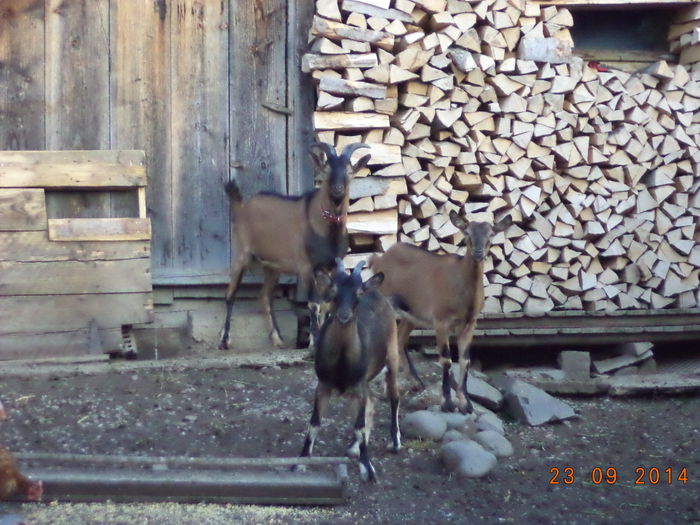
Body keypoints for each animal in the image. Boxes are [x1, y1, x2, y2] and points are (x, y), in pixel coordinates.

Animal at [219, 141, 372, 350]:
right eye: (326, 170)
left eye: (349, 171)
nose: (337, 190)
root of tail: (242, 206)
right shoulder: (307, 266)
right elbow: (313, 303)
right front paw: (314, 342)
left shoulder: (330, 267)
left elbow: (327, 303)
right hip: (241, 253)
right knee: (230, 293)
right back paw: (224, 340)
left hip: (272, 266)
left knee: (264, 297)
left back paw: (277, 339)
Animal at [298, 260, 402, 482]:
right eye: (333, 289)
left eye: (359, 291)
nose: (344, 315)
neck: (342, 362)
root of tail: (378, 293)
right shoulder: (323, 385)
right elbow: (314, 422)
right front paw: (300, 462)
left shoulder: (358, 386)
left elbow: (359, 426)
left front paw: (368, 469)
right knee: (372, 401)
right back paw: (354, 447)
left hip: (392, 355)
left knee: (394, 397)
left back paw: (395, 441)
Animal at [370, 211, 512, 412]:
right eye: (467, 233)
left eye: (491, 234)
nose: (478, 253)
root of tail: (378, 259)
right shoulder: (441, 321)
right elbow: (446, 359)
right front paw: (447, 403)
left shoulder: (470, 324)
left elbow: (465, 360)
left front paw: (466, 403)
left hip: (411, 315)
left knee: (399, 340)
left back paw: (414, 383)